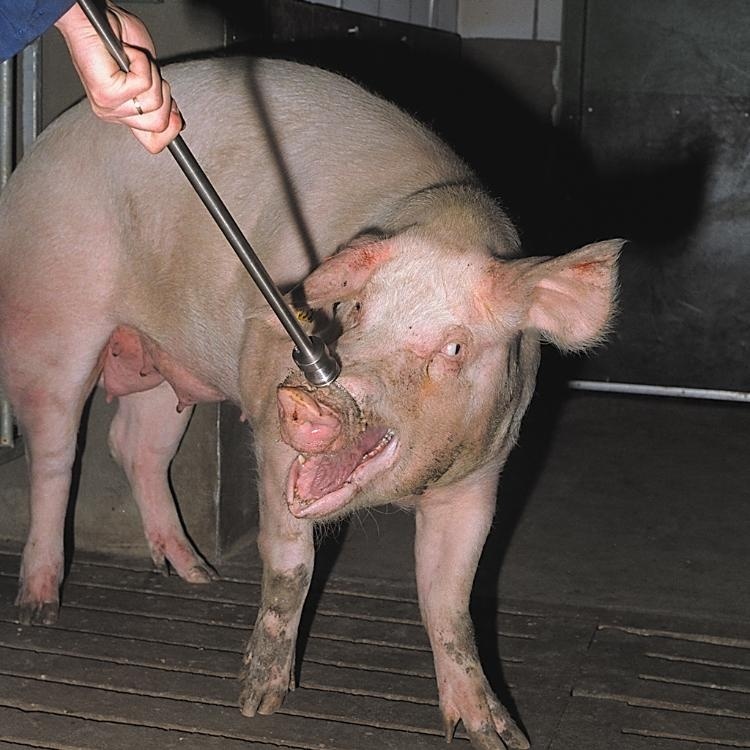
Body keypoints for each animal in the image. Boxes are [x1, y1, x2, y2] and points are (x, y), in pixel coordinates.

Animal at [0, 56, 620, 749]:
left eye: (456, 346)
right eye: (354, 311)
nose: (308, 401)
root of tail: (36, 153)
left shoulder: (484, 471)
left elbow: (451, 598)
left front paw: (498, 733)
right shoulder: (272, 438)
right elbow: (291, 562)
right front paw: (258, 702)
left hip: (165, 360)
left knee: (135, 446)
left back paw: (196, 573)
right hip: (49, 319)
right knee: (56, 454)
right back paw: (38, 609)